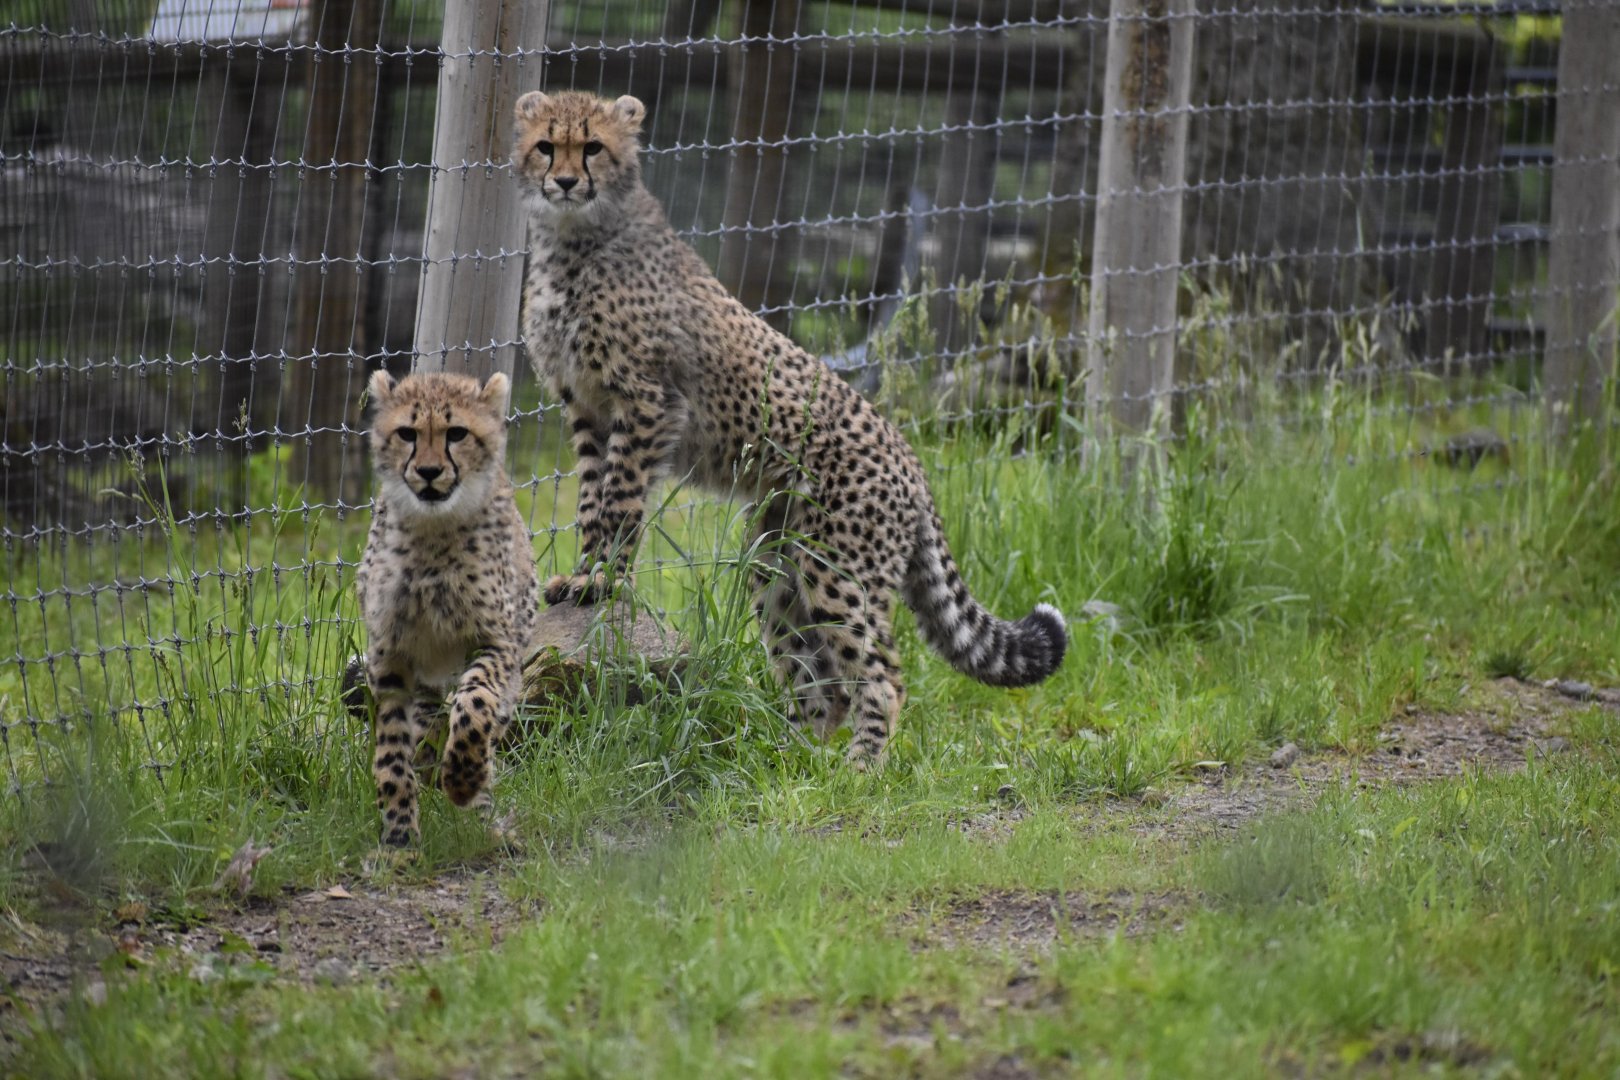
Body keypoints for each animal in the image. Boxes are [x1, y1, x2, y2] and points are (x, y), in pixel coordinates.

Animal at [356, 370, 539, 846]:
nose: (428, 472)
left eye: (457, 433)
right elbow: (392, 754)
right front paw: (399, 837)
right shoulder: (390, 657)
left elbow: (474, 704)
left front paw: (462, 780)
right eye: (407, 433)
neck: (433, 533)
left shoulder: (496, 643)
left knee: (480, 716)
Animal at [513, 90, 1067, 765]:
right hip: (775, 556)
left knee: (881, 672)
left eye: (593, 147)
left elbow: (617, 502)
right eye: (547, 145)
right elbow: (593, 498)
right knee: (819, 678)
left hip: (837, 563)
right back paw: (791, 762)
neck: (574, 238)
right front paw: (583, 577)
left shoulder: (645, 403)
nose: (565, 181)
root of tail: (909, 456)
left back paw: (860, 769)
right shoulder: (588, 409)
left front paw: (601, 582)